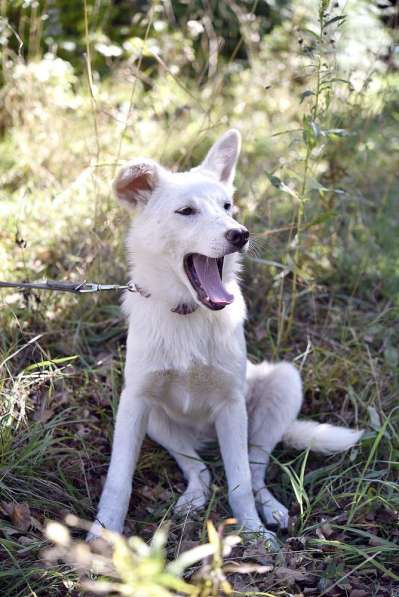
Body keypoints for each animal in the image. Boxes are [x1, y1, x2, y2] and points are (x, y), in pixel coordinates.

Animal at [89, 128, 364, 544]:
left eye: (227, 206)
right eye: (186, 211)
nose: (240, 234)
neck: (189, 313)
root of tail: (205, 435)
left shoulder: (232, 407)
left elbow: (239, 482)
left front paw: (253, 533)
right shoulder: (135, 401)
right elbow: (118, 481)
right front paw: (102, 534)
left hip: (281, 387)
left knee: (255, 469)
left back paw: (271, 510)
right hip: (155, 420)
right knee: (199, 467)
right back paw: (192, 499)